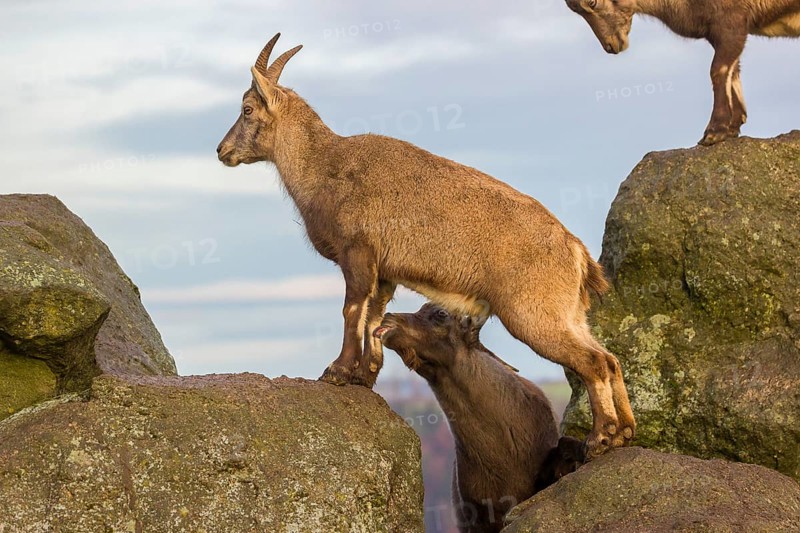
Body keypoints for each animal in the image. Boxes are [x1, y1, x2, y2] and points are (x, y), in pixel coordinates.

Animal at [216, 33, 635, 458]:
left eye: (247, 109)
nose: (221, 150)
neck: (324, 166)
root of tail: (576, 252)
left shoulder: (358, 252)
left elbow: (352, 310)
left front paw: (337, 371)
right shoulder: (384, 271)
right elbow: (374, 317)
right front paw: (364, 375)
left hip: (533, 314)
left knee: (593, 362)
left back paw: (601, 438)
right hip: (569, 315)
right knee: (610, 359)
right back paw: (624, 433)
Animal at [566, 0, 800, 145]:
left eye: (592, 2)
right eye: (574, 9)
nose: (611, 46)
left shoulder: (731, 23)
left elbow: (718, 70)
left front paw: (714, 132)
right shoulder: (718, 34)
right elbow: (734, 71)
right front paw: (733, 126)